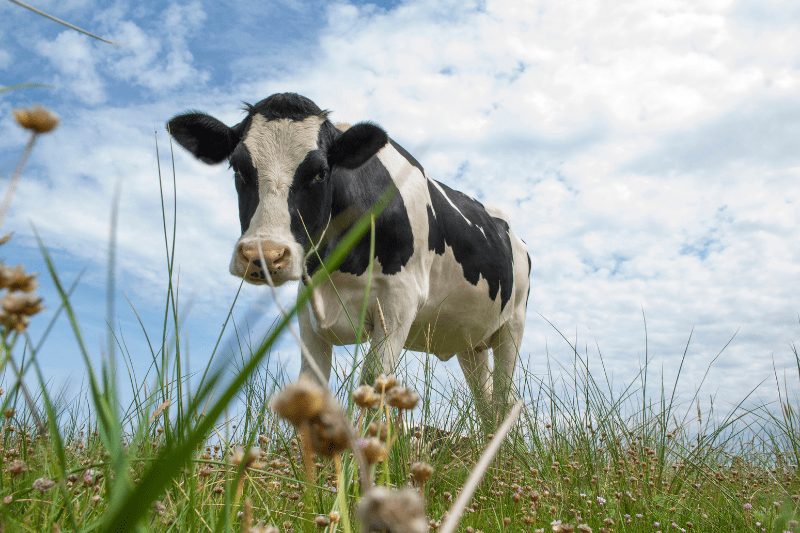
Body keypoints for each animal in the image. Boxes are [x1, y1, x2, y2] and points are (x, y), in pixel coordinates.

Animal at [167, 93, 530, 425]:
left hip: (513, 324)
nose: (265, 255)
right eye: (238, 168)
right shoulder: (308, 310)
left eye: (320, 173)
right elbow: (311, 388)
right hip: (470, 340)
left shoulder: (399, 303)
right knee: (485, 402)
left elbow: (373, 387)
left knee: (504, 397)